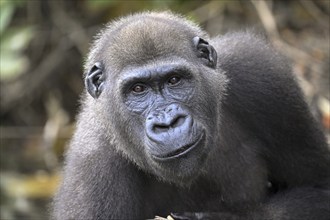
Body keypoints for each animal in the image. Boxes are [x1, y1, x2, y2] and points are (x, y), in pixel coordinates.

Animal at [52, 12, 330, 220]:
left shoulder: (259, 71)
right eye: (138, 89)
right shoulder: (92, 171)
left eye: (174, 80)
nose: (167, 123)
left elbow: (318, 187)